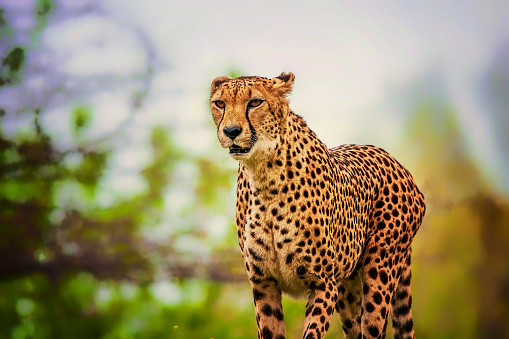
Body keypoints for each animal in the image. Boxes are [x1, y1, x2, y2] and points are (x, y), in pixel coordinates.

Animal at [207, 72, 424, 339]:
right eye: (220, 104)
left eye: (255, 102)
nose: (231, 131)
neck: (264, 177)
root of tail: (397, 163)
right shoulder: (264, 283)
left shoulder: (323, 283)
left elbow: (312, 332)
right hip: (348, 289)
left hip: (379, 271)